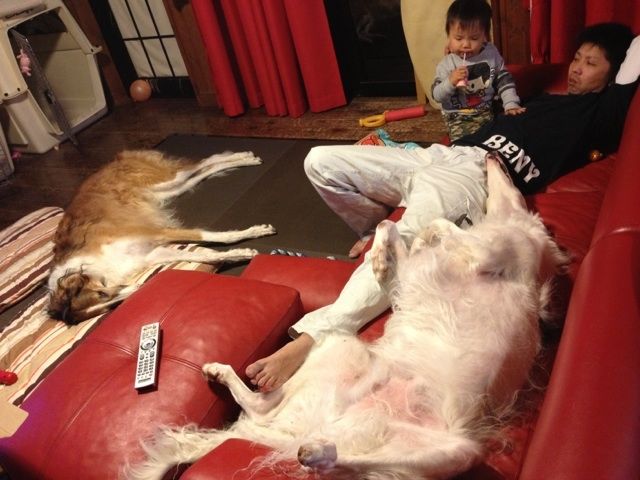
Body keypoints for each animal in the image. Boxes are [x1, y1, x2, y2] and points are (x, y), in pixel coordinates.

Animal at [47, 149, 276, 325]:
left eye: (101, 294)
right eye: (108, 306)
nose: (141, 288)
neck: (96, 265)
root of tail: (113, 160)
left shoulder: (156, 232)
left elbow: (218, 237)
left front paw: (256, 231)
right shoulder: (151, 253)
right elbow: (206, 255)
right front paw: (243, 253)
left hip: (166, 181)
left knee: (203, 162)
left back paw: (245, 157)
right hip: (169, 190)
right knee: (202, 171)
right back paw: (244, 158)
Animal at [127, 154, 568, 480]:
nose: (496, 155)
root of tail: (297, 431)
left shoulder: (490, 253)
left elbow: (439, 227)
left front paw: (401, 245)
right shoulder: (453, 260)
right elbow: (407, 232)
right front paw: (384, 250)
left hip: (455, 452)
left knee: (333, 457)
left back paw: (318, 453)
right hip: (341, 348)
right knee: (260, 405)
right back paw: (224, 375)